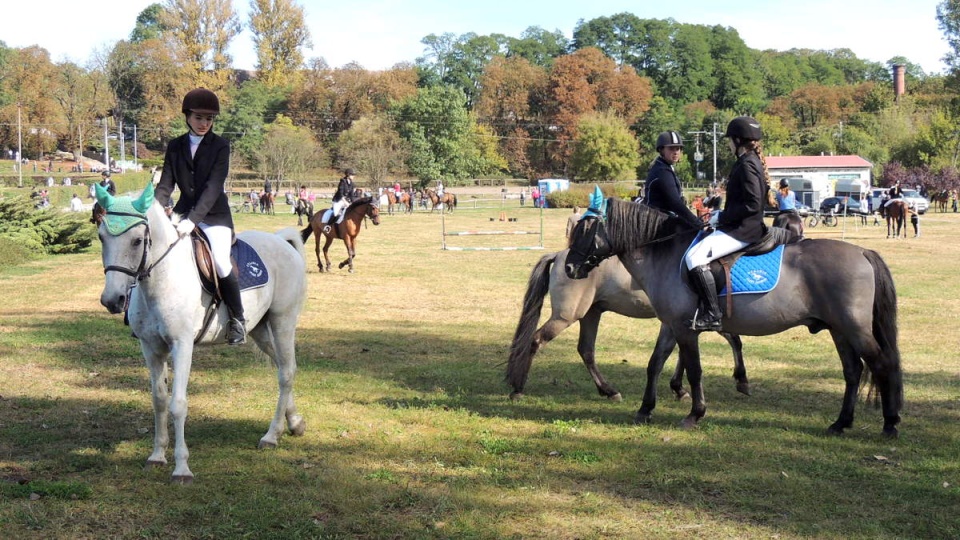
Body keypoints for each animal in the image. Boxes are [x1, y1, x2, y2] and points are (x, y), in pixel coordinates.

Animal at [94, 182, 308, 486]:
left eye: (136, 241)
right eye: (101, 237)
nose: (112, 300)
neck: (160, 280)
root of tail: (281, 241)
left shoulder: (182, 345)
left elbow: (178, 403)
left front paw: (182, 468)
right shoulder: (151, 348)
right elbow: (159, 400)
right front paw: (157, 455)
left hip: (282, 322)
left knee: (287, 372)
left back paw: (272, 435)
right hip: (259, 330)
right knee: (282, 367)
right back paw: (295, 422)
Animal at [506, 249, 752, 400]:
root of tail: (559, 256)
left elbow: (683, 352)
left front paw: (679, 388)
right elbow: (734, 340)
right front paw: (741, 379)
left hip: (591, 313)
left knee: (586, 350)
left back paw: (608, 390)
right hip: (567, 316)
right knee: (536, 341)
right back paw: (518, 388)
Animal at [564, 198, 900, 438]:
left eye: (586, 230)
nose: (569, 268)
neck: (666, 254)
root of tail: (862, 252)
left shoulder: (686, 330)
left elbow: (694, 370)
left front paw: (695, 413)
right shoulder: (672, 326)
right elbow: (654, 363)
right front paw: (645, 409)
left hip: (854, 328)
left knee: (881, 364)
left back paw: (890, 423)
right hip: (839, 330)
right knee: (853, 371)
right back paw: (841, 423)